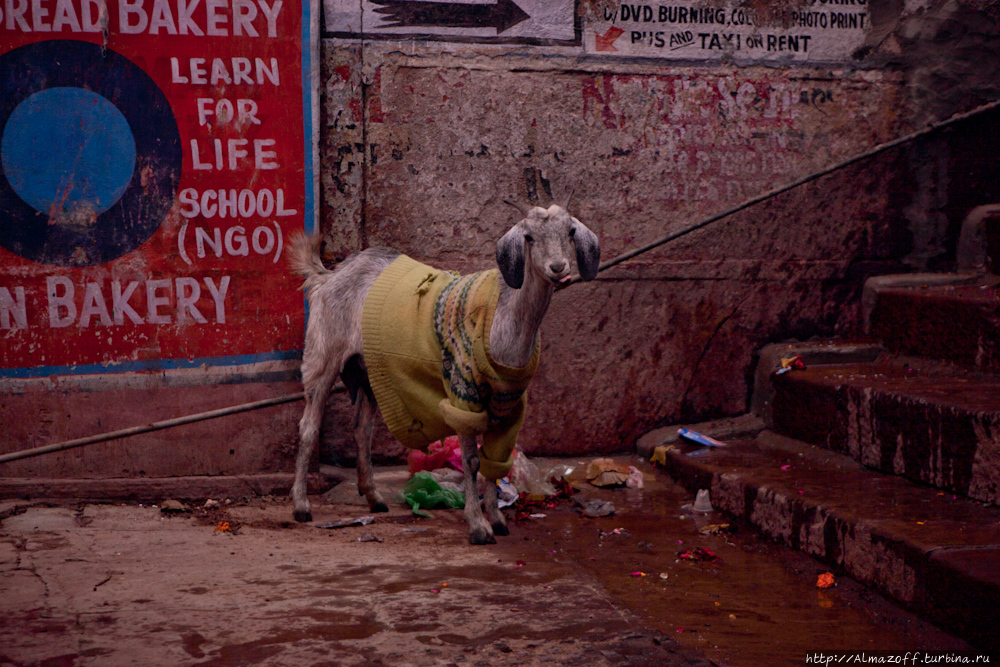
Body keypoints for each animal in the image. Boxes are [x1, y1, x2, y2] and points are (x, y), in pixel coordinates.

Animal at [290, 192, 600, 544]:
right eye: (529, 237)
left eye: (570, 232)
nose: (558, 268)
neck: (503, 320)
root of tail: (328, 276)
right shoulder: (463, 392)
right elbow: (471, 460)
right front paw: (478, 526)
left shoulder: (510, 402)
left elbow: (496, 460)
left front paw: (497, 520)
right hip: (322, 355)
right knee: (309, 426)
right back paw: (301, 506)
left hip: (368, 370)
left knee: (362, 431)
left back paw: (373, 497)